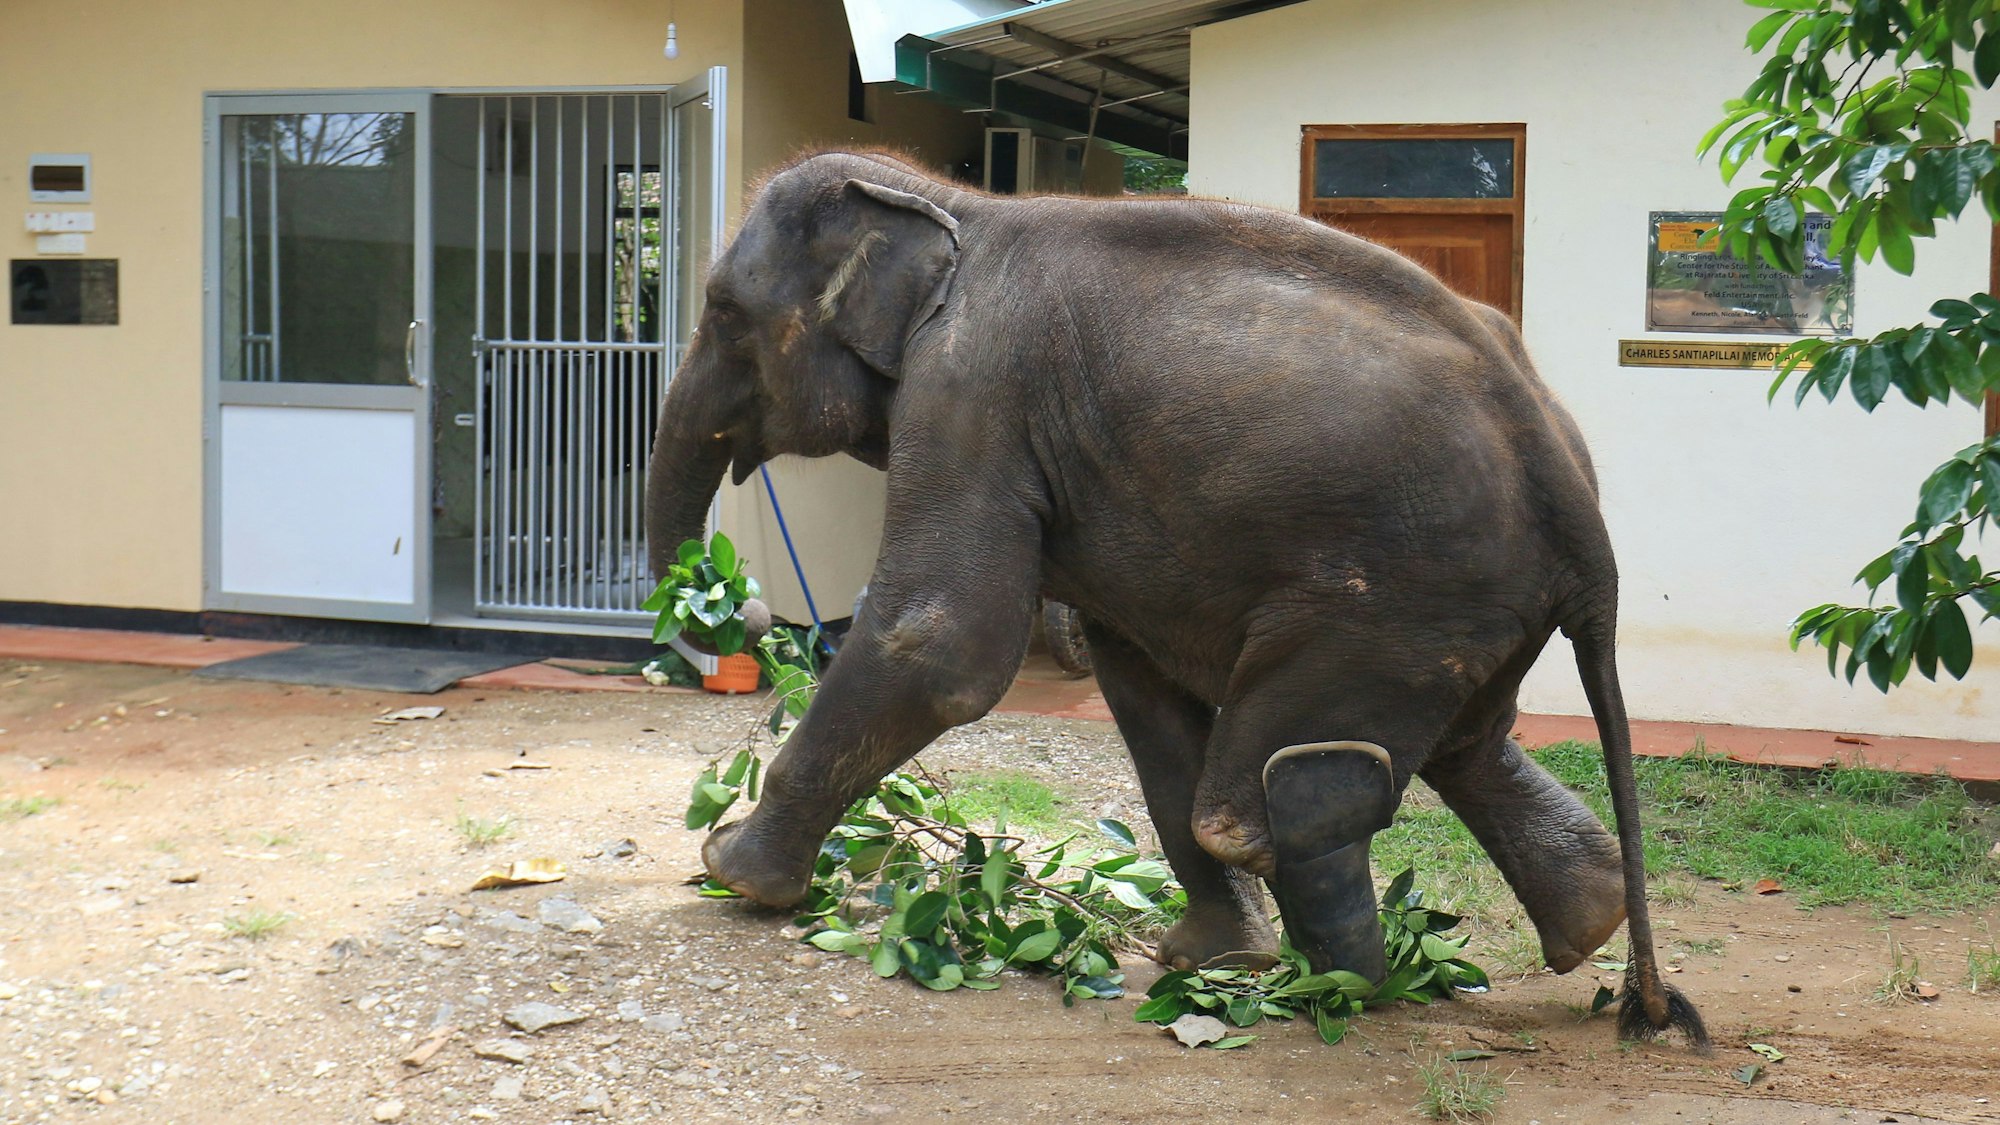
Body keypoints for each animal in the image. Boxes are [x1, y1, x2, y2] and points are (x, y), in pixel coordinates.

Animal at [643, 150, 1706, 1045]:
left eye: (725, 311)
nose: (733, 608)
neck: (950, 203)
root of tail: (1577, 497)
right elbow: (1141, 690)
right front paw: (1211, 956)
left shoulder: (970, 391)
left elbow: (941, 642)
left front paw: (732, 872)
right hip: (1467, 613)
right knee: (1464, 746)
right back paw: (1578, 923)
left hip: (1396, 597)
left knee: (1269, 790)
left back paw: (1339, 989)